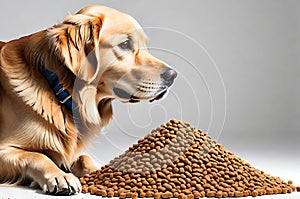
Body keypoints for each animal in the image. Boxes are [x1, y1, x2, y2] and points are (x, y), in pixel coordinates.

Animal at [0, 5, 176, 196]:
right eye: (125, 44)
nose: (172, 75)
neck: (59, 89)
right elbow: (36, 155)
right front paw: (60, 176)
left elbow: (84, 157)